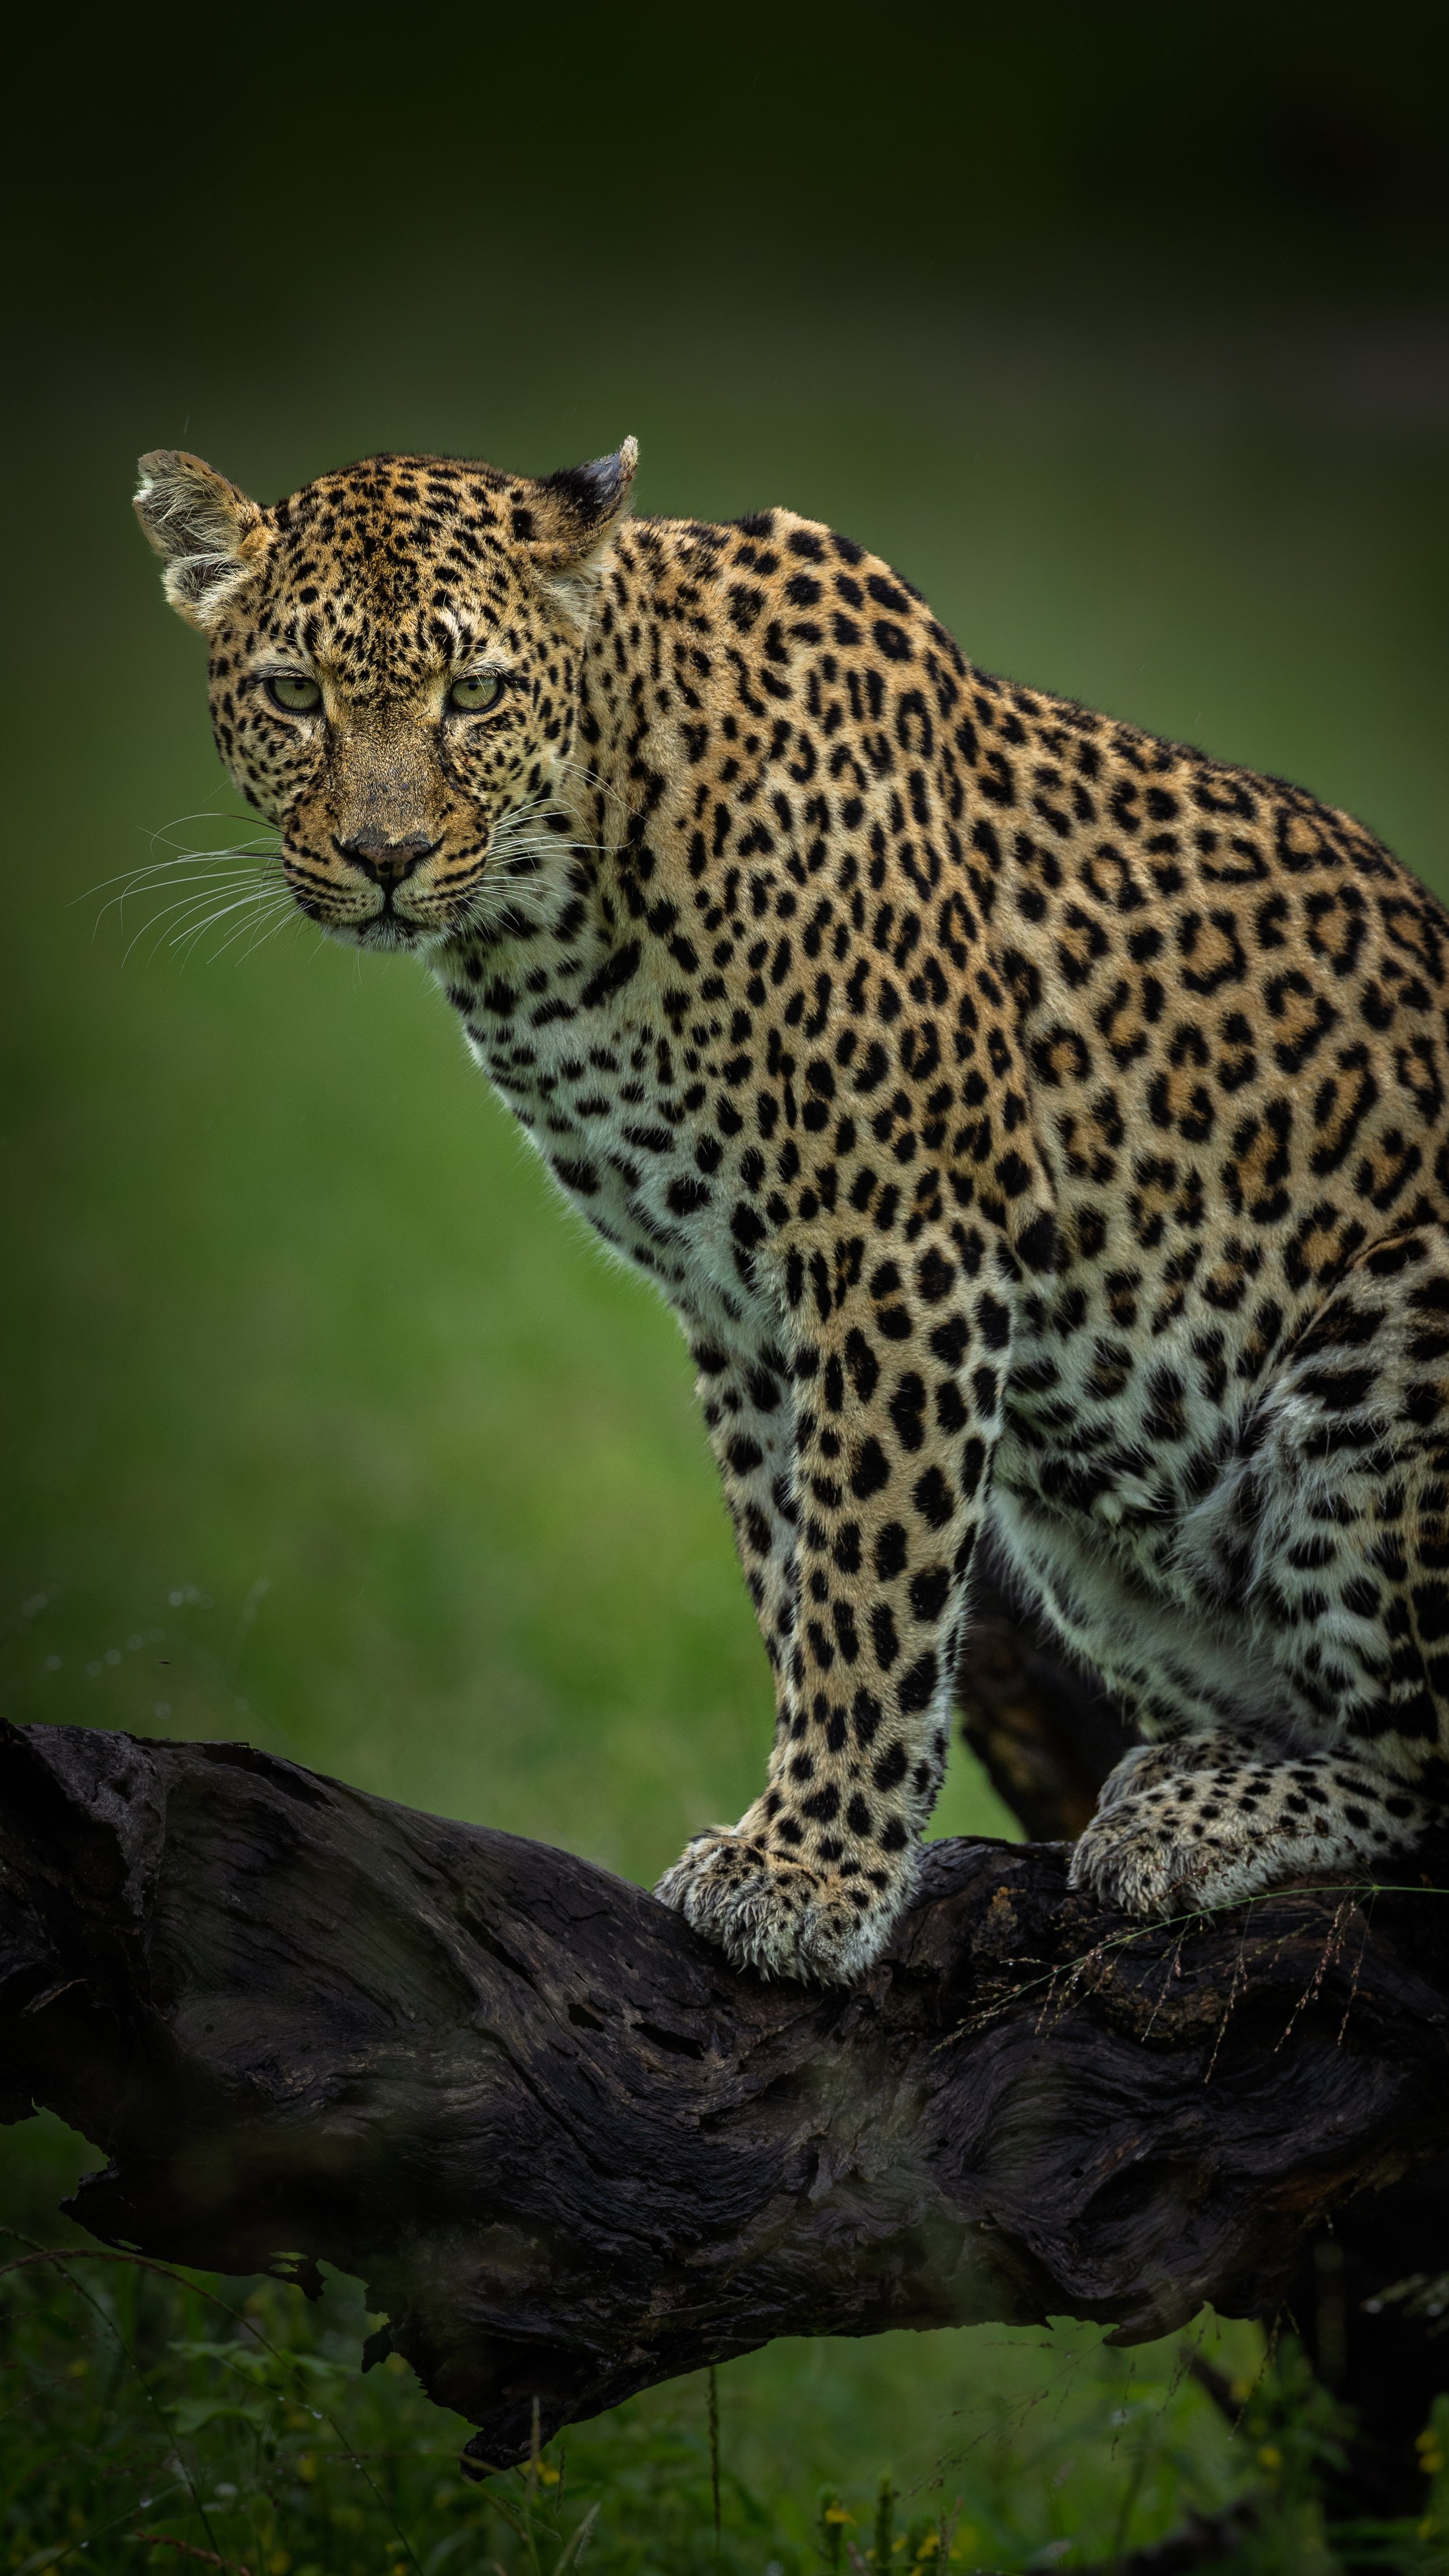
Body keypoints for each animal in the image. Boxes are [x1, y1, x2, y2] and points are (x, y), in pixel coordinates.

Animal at [134, 434, 1449, 1985]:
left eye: (475, 694)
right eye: (294, 695)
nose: (384, 853)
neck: (554, 916)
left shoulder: (900, 1247)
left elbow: (870, 1587)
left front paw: (811, 1873)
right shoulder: (739, 1304)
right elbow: (798, 1567)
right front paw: (814, 1837)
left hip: (1381, 1357)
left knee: (1428, 1774)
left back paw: (1196, 1816)